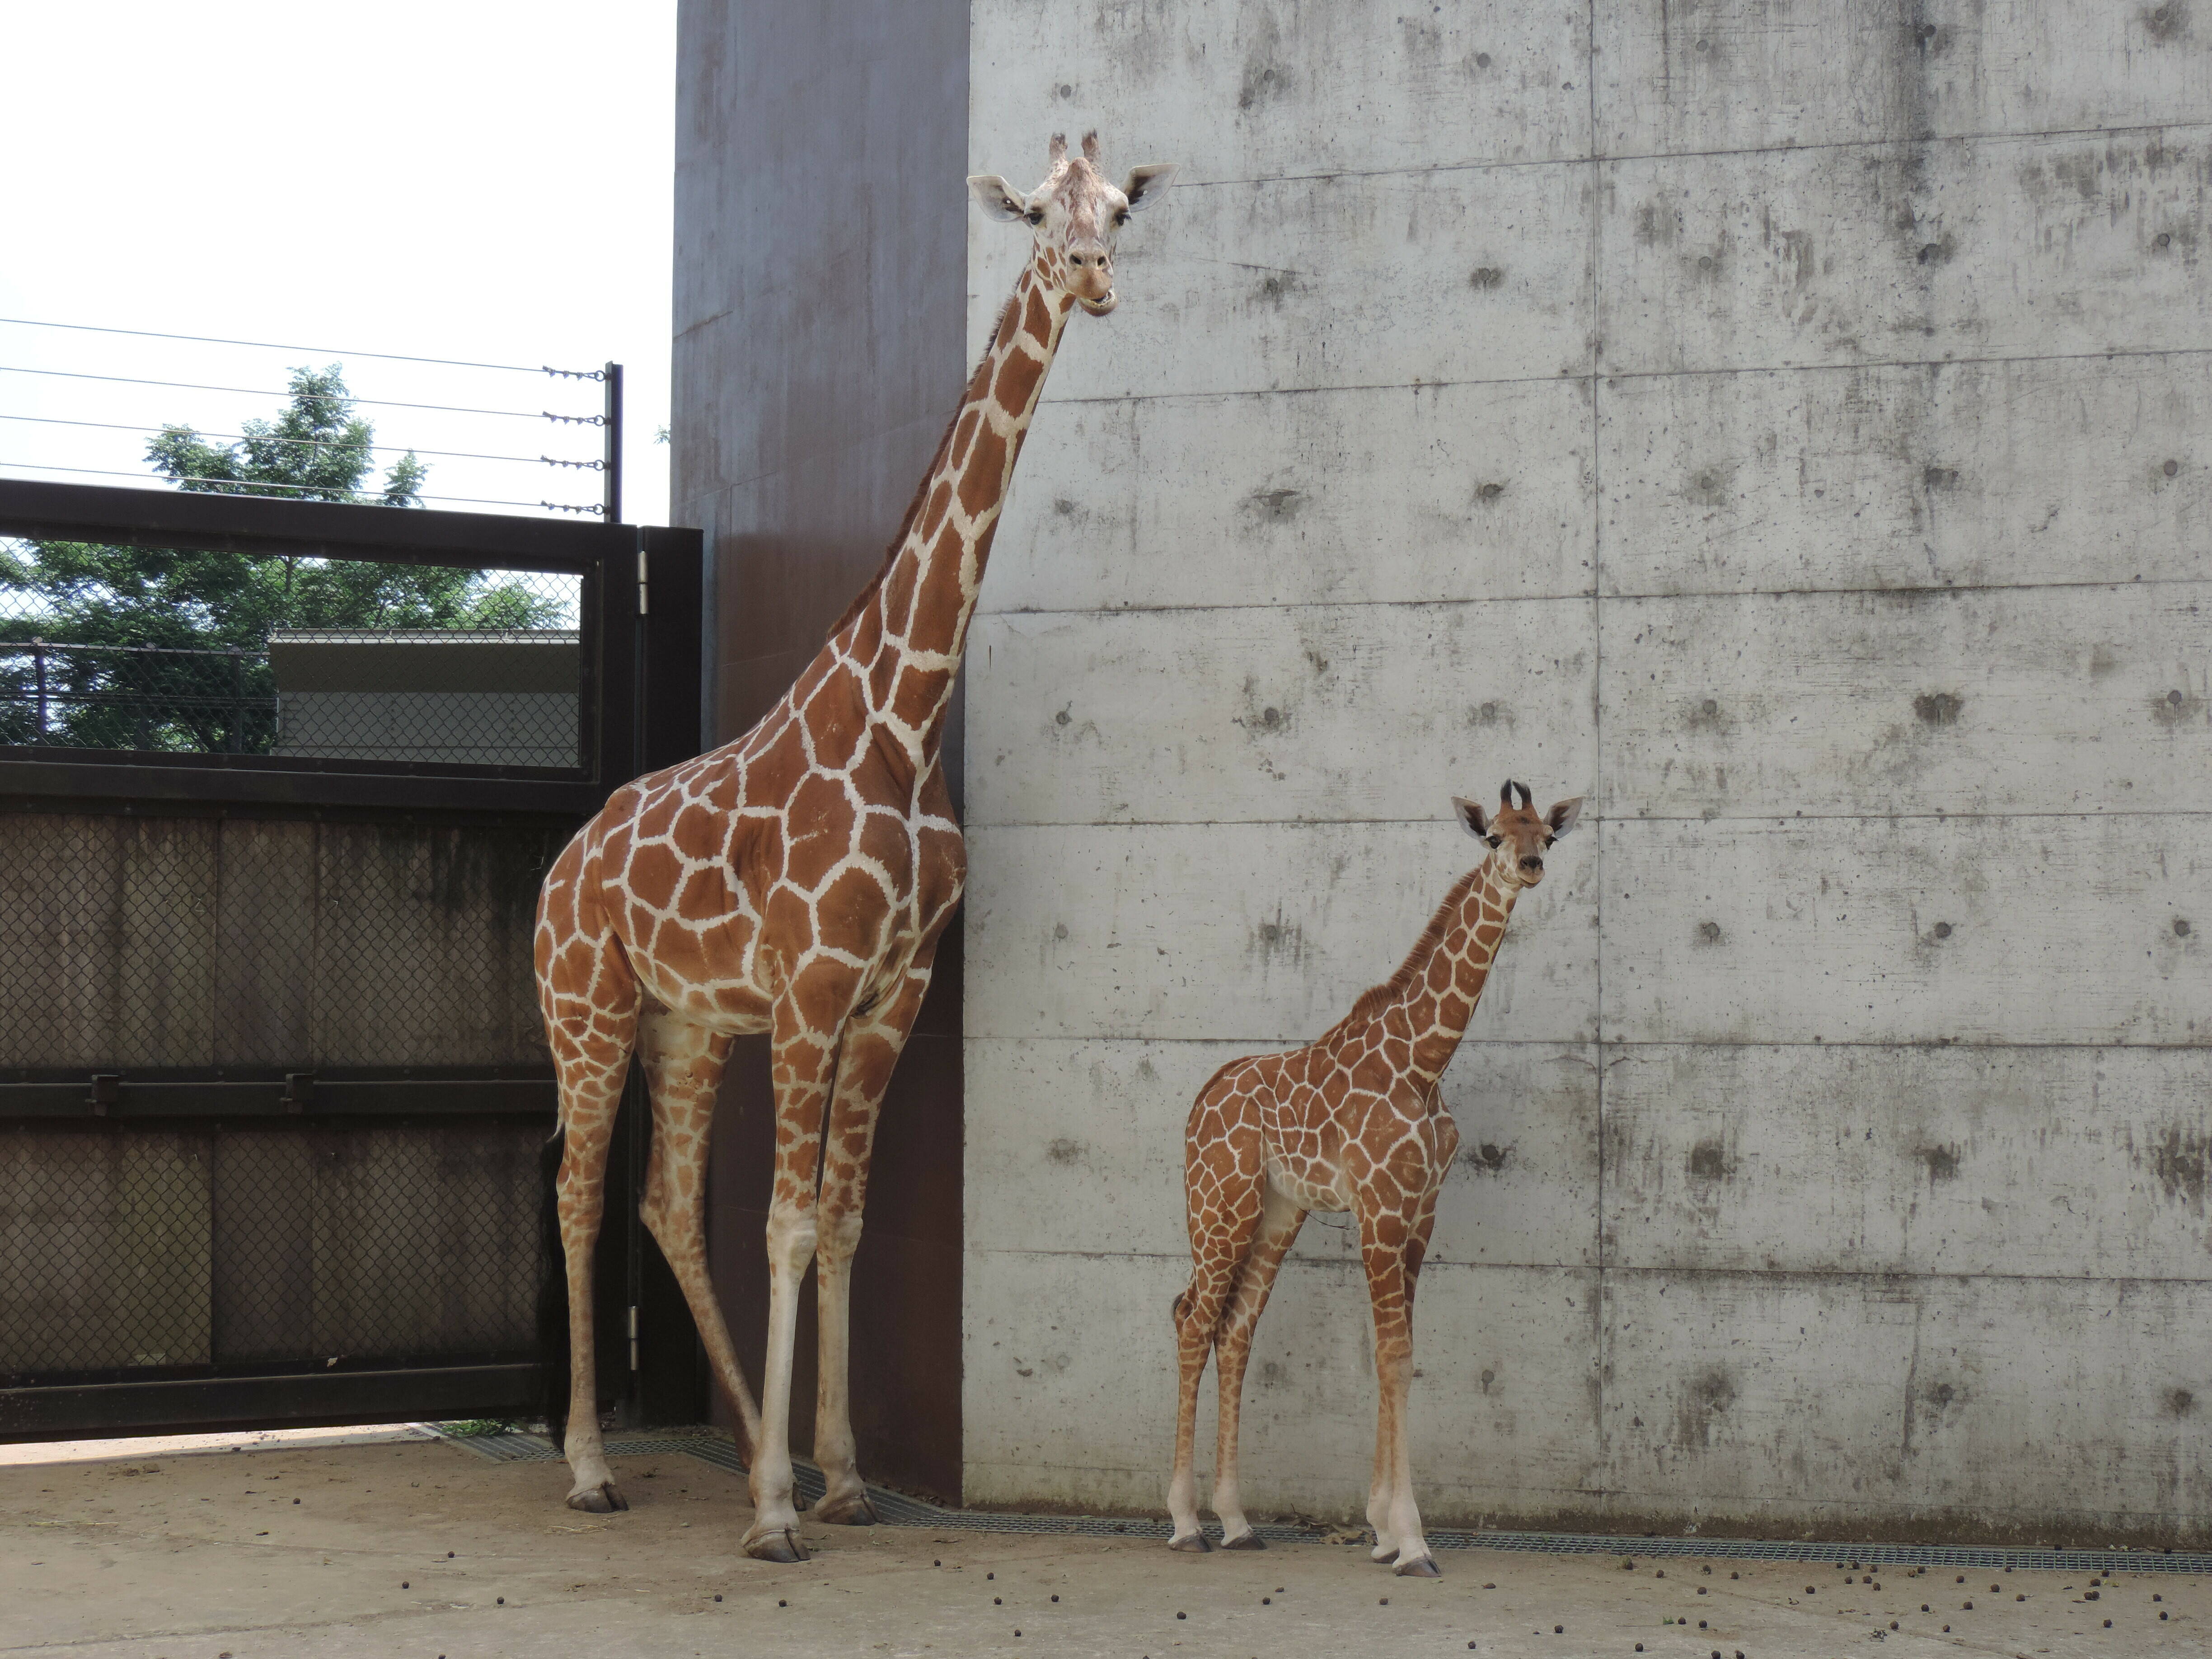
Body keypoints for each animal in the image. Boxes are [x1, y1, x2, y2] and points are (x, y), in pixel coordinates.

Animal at [533, 136, 1176, 1566]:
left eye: (1119, 212)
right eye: (1039, 216)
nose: (1095, 280)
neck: (903, 714)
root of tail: (559, 865)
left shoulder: (893, 993)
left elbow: (839, 1221)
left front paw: (833, 1475)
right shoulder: (815, 989)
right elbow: (783, 1224)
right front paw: (780, 1511)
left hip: (685, 1023)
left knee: (664, 1203)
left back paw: (732, 1441)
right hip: (585, 1009)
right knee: (581, 1193)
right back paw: (593, 1468)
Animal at [1168, 787, 1584, 1575]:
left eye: (1546, 834)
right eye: (1493, 837)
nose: (1531, 866)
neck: (1424, 1064)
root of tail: (1203, 1098)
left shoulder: (1421, 1211)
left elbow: (1403, 1353)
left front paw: (1385, 1532)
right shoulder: (1382, 1207)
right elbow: (1391, 1354)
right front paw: (1412, 1540)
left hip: (1278, 1211)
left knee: (1235, 1329)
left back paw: (1236, 1522)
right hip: (1220, 1202)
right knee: (1192, 1318)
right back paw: (1183, 1522)